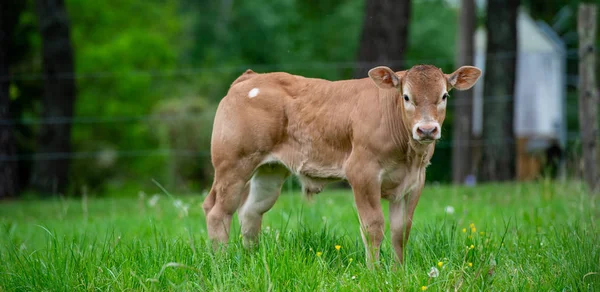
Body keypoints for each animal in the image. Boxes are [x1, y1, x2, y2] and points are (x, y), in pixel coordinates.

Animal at [204, 64, 480, 264]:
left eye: (444, 95)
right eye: (406, 97)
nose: (427, 129)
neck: (408, 155)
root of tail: (250, 78)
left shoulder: (414, 182)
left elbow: (401, 231)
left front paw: (399, 272)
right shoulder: (363, 173)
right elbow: (373, 227)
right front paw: (375, 272)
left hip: (270, 170)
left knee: (251, 212)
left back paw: (250, 260)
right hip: (233, 165)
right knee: (218, 211)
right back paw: (222, 262)